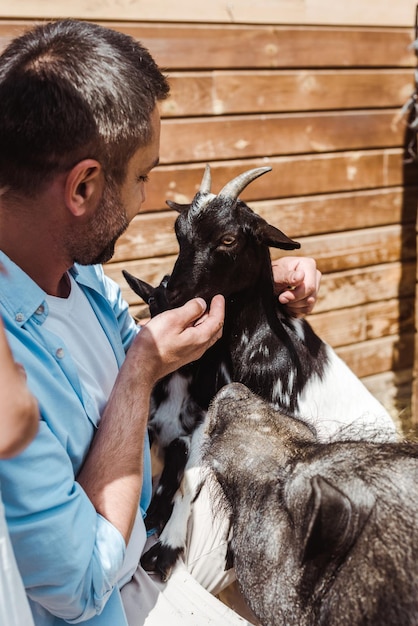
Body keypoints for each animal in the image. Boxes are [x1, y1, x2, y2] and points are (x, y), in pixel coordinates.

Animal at [123, 162, 396, 580]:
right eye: (179, 232)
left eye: (229, 239)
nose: (172, 297)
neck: (253, 348)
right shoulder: (208, 414)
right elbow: (190, 474)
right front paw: (167, 542)